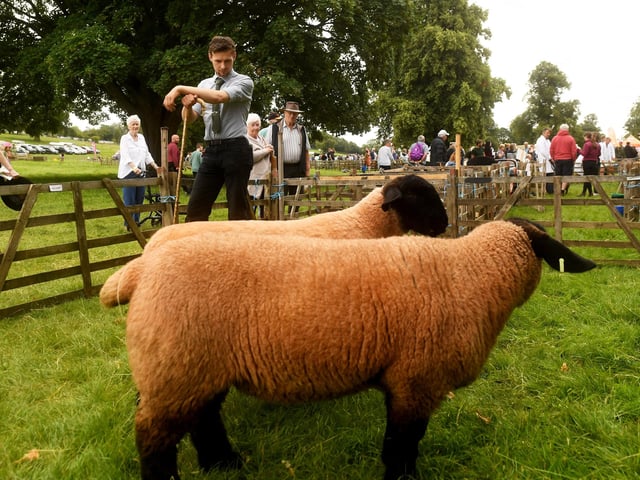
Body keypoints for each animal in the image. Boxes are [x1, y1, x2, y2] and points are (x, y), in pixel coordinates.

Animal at [101, 218, 595, 480]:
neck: (471, 276)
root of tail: (144, 269)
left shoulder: (406, 381)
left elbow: (401, 441)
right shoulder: (416, 381)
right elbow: (404, 442)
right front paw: (403, 477)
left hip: (195, 367)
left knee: (203, 419)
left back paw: (223, 463)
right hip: (175, 365)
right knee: (154, 436)